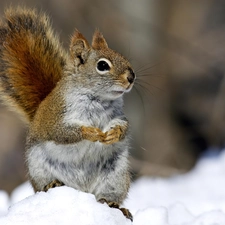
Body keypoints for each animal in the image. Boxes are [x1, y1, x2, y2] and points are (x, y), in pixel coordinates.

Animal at [0, 6, 135, 220]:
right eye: (102, 65)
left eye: (121, 55)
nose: (131, 77)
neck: (98, 99)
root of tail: (82, 190)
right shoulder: (57, 117)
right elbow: (62, 133)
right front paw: (91, 133)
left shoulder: (118, 114)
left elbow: (124, 126)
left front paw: (114, 134)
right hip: (39, 167)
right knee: (44, 185)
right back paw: (52, 184)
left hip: (116, 176)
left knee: (107, 196)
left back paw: (114, 205)